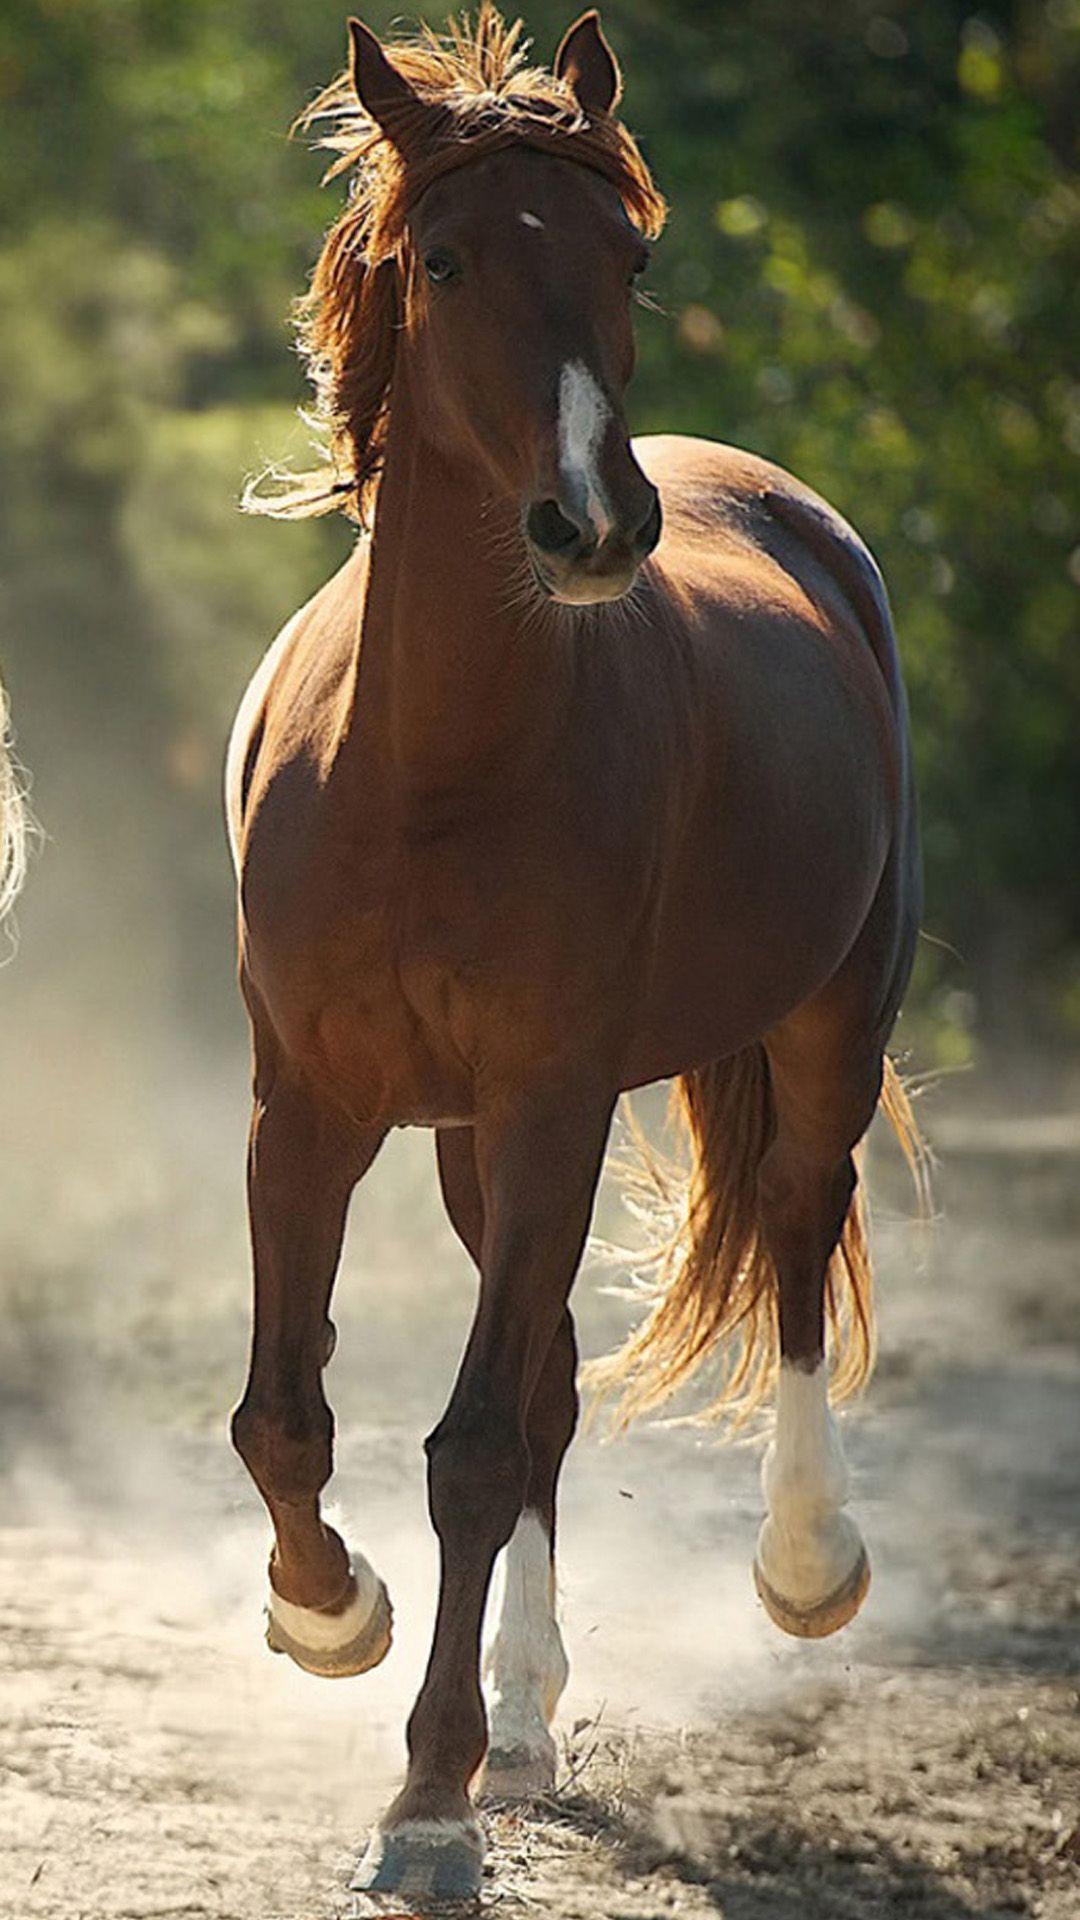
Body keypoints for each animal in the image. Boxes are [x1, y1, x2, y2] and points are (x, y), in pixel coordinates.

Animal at [228, 8, 924, 1900]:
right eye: (446, 259)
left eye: (631, 257)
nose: (596, 525)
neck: (427, 765)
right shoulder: (309, 1107)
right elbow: (289, 1417)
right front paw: (333, 1615)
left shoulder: (552, 1098)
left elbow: (468, 1448)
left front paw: (424, 1803)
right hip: (470, 1144)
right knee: (542, 1379)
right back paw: (528, 1725)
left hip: (823, 1022)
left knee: (795, 1226)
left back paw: (807, 1563)